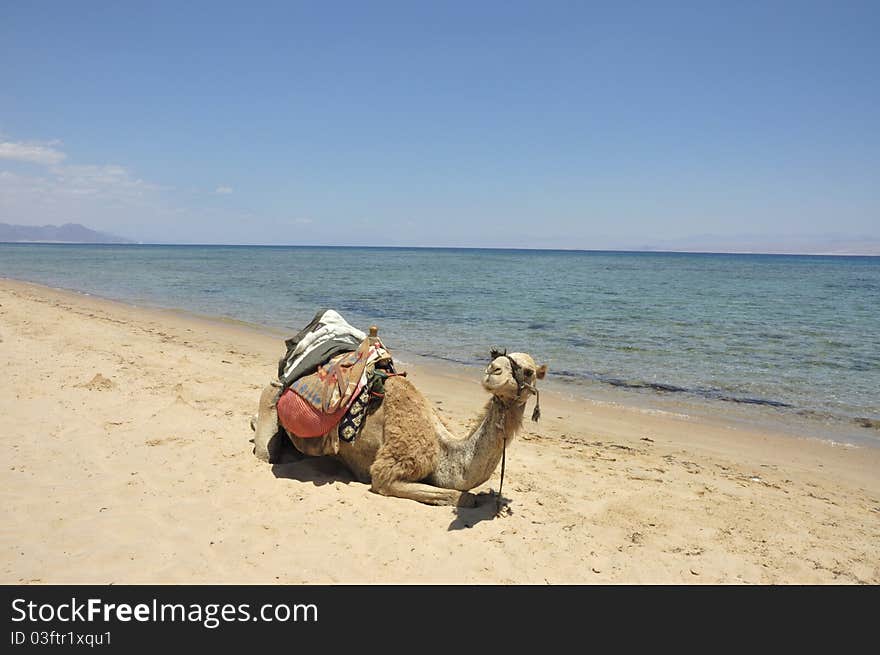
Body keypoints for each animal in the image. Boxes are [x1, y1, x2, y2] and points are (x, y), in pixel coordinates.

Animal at [251, 348, 548, 508]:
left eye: (529, 371)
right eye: (498, 360)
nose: (492, 370)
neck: (443, 449)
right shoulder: (390, 468)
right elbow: (460, 496)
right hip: (271, 396)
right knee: (266, 452)